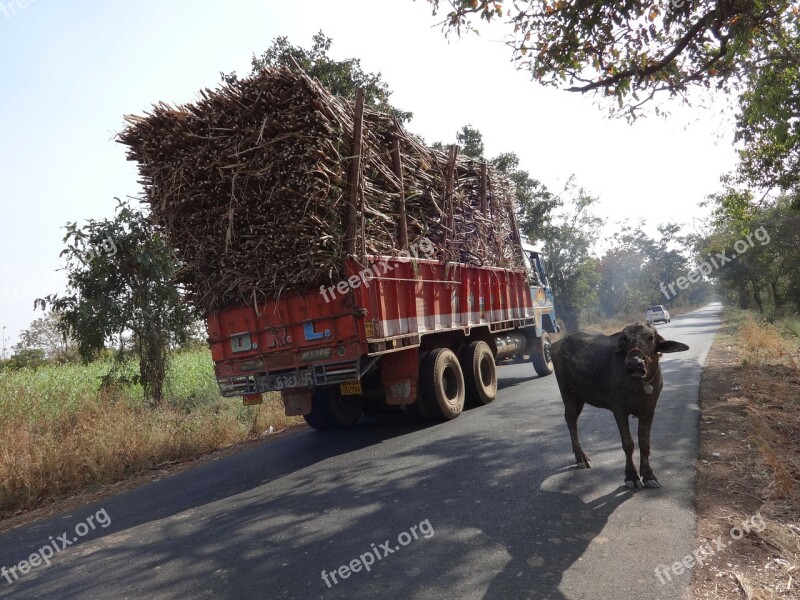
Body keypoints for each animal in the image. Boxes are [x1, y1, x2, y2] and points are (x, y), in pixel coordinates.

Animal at [552, 324, 692, 488]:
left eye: (650, 337)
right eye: (624, 338)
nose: (635, 363)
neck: (639, 385)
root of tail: (558, 343)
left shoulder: (649, 411)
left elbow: (644, 443)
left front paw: (648, 475)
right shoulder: (619, 410)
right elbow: (628, 443)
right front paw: (631, 476)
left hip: (581, 396)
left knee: (572, 419)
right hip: (568, 392)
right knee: (571, 419)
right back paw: (581, 457)